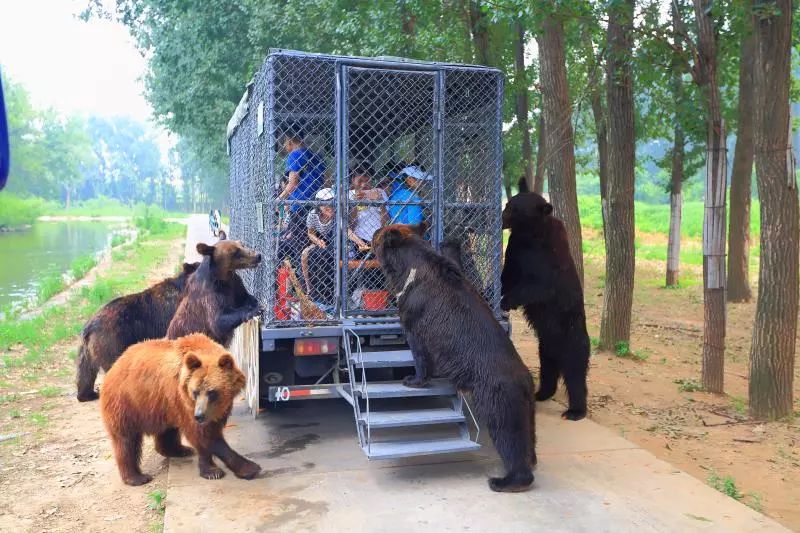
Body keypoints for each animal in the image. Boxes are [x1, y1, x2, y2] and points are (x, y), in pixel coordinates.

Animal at [100, 334, 260, 484]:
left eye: (212, 392)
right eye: (195, 392)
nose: (199, 415)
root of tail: (116, 364)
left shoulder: (211, 409)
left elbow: (208, 431)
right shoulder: (183, 401)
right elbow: (205, 436)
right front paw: (245, 468)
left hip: (161, 406)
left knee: (167, 430)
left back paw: (179, 450)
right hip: (127, 403)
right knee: (126, 440)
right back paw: (136, 477)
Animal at [372, 222, 536, 492]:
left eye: (378, 234)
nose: (374, 232)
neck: (408, 269)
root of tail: (525, 381)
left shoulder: (415, 309)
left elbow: (418, 346)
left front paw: (413, 379)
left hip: (497, 396)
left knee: (507, 432)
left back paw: (505, 480)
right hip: (526, 405)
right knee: (528, 434)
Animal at [504, 179, 592, 420]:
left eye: (516, 209)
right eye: (509, 203)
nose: (502, 216)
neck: (531, 235)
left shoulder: (548, 259)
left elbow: (538, 286)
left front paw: (506, 300)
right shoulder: (515, 248)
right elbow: (509, 273)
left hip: (573, 340)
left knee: (575, 374)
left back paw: (575, 411)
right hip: (545, 347)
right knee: (548, 369)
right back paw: (541, 393)